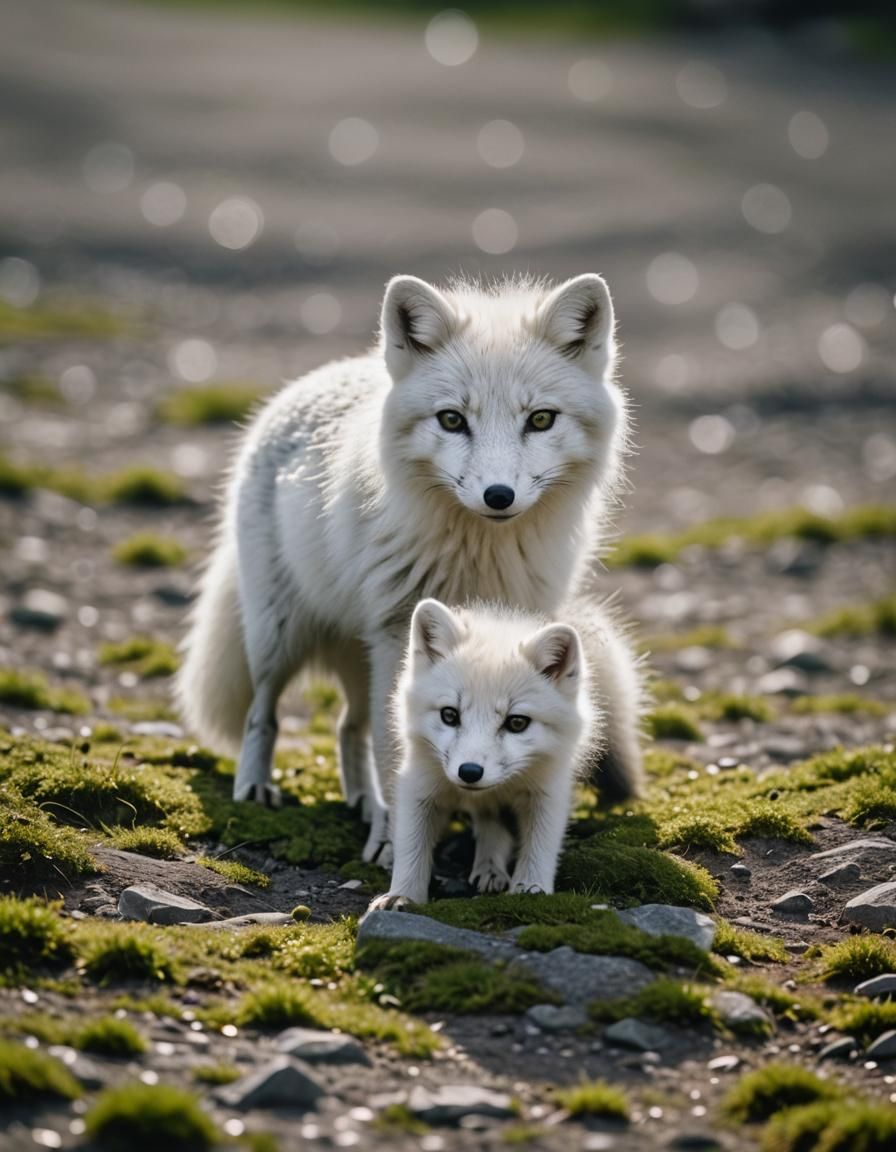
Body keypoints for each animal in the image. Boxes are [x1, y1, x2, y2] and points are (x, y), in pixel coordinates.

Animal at [176, 273, 630, 863]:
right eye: (452, 419)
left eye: (541, 420)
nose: (498, 496)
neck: (478, 554)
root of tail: (319, 376)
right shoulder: (398, 634)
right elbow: (395, 750)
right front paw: (396, 846)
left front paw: (489, 849)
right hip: (282, 636)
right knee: (264, 712)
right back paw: (255, 788)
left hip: (357, 651)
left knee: (349, 727)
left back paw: (362, 802)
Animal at [369, 596, 645, 910]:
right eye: (449, 715)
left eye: (517, 723)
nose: (470, 772)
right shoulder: (418, 784)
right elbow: (411, 849)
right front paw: (401, 895)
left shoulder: (548, 791)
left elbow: (539, 849)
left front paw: (530, 890)